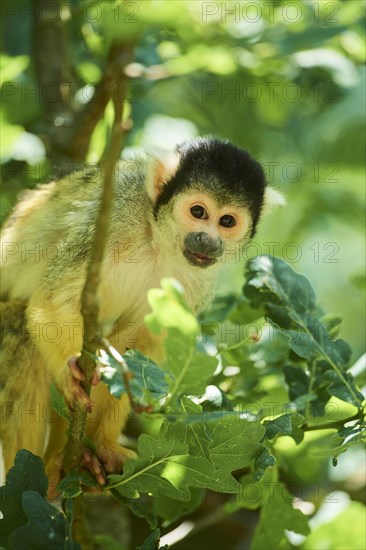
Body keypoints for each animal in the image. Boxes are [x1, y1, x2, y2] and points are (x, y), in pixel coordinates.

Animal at [0, 137, 280, 492]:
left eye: (227, 221)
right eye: (198, 212)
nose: (208, 240)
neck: (159, 242)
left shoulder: (196, 283)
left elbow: (140, 352)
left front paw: (105, 445)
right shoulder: (116, 216)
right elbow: (51, 301)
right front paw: (70, 370)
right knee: (20, 332)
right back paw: (33, 479)